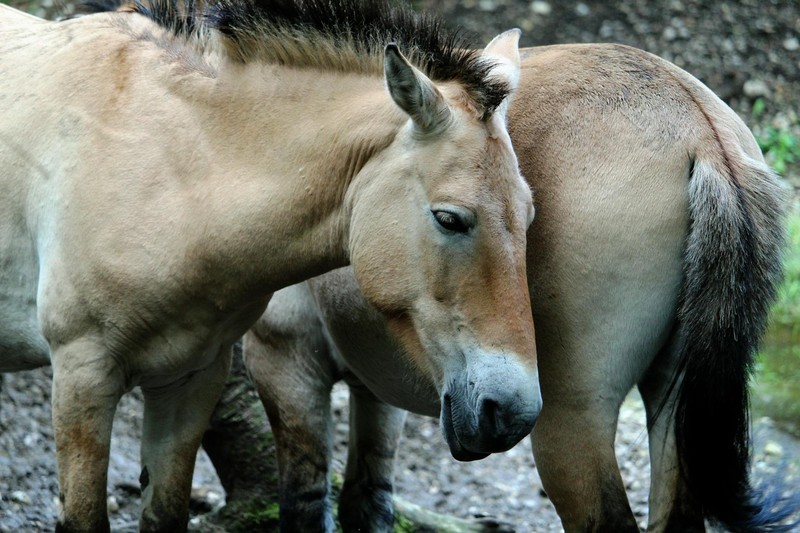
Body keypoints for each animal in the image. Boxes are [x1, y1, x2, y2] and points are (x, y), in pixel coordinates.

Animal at [0, 0, 542, 530]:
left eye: (530, 213)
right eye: (449, 218)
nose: (513, 411)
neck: (168, 167)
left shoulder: (190, 379)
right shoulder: (83, 375)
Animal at [246, 43, 799, 532]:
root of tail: (697, 125)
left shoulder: (285, 361)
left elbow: (306, 504)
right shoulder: (376, 386)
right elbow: (367, 502)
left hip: (572, 424)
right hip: (674, 399)